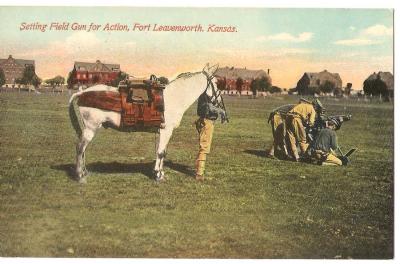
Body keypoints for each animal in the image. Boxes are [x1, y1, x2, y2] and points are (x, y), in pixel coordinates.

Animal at [67, 64, 227, 184]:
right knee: (80, 148)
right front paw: (159, 176)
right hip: (90, 129)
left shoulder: (163, 131)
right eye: (216, 83)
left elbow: (162, 152)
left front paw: (159, 172)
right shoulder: (166, 130)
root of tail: (81, 93)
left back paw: (85, 172)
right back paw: (80, 176)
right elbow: (161, 152)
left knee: (83, 150)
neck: (173, 98)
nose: (220, 104)